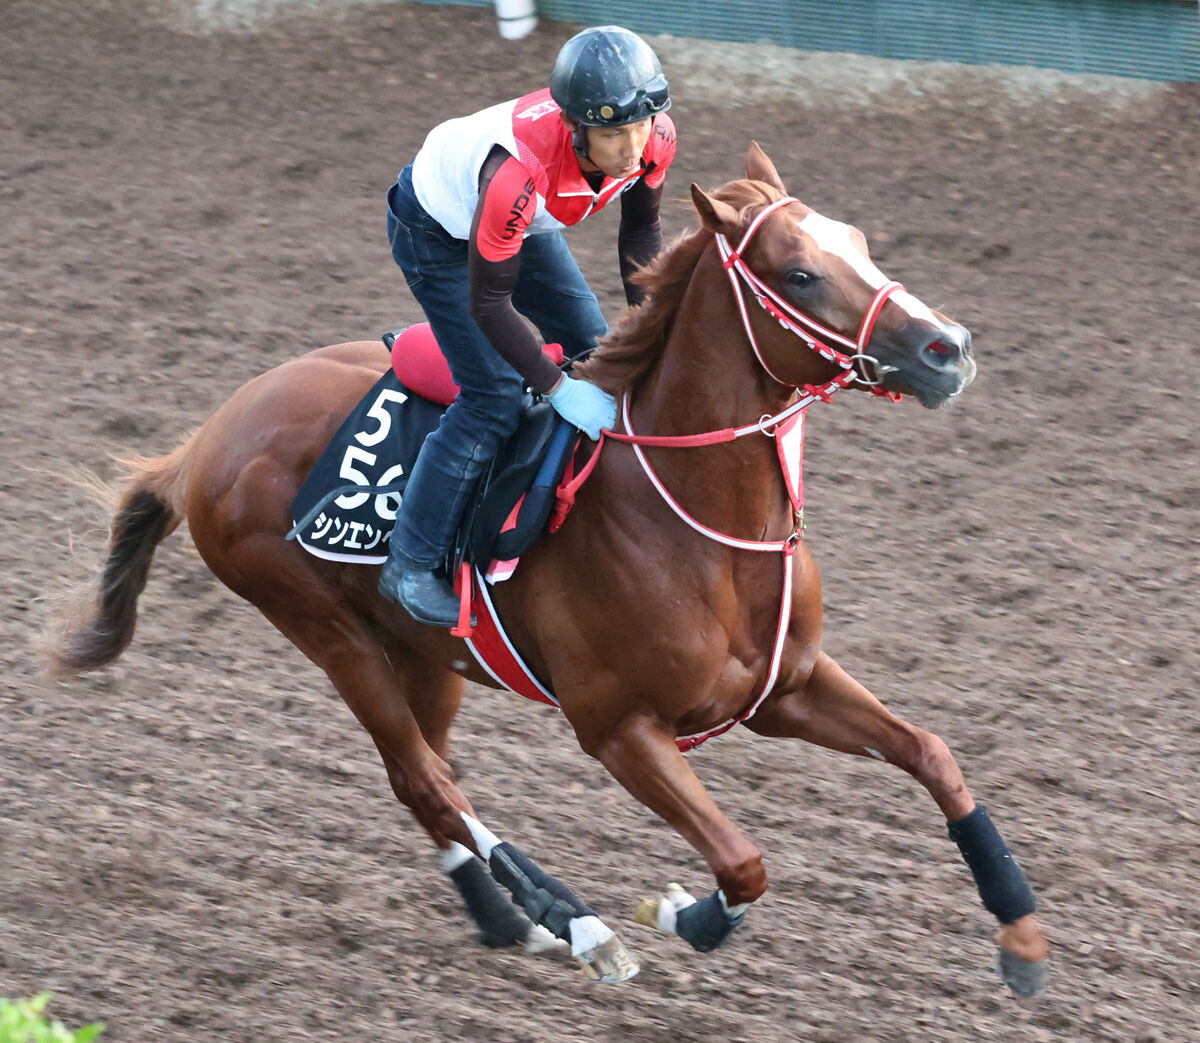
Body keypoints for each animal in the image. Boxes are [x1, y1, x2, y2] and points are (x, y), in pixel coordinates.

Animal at [46, 144, 1046, 993]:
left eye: (862, 246)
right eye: (799, 273)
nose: (948, 347)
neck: (698, 526)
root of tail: (206, 437)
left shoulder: (783, 688)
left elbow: (934, 754)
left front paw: (1023, 935)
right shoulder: (617, 727)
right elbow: (742, 861)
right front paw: (678, 914)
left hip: (426, 653)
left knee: (420, 778)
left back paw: (509, 918)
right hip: (324, 630)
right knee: (428, 778)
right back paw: (577, 924)